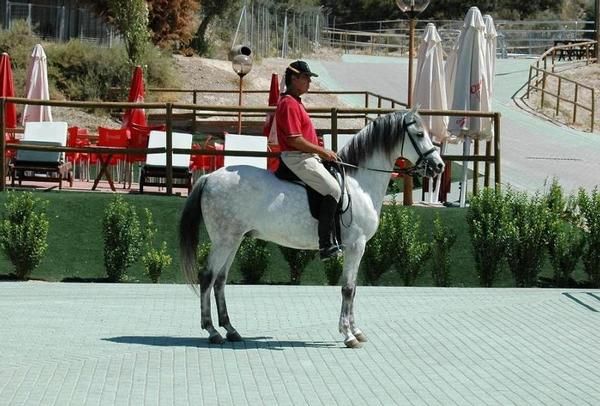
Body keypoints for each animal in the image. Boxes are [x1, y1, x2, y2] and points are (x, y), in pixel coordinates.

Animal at [179, 109, 446, 348]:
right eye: (420, 134)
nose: (439, 166)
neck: (359, 184)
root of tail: (209, 177)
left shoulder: (358, 248)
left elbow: (354, 289)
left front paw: (356, 331)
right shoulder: (356, 246)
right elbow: (348, 288)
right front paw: (348, 335)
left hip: (234, 240)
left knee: (220, 279)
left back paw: (231, 330)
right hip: (224, 240)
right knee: (207, 276)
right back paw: (212, 331)